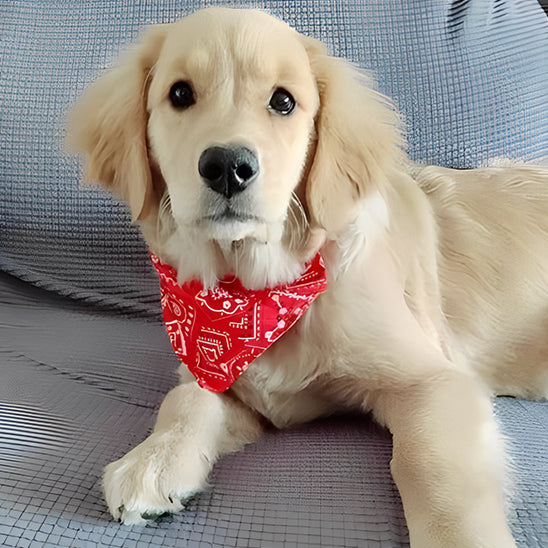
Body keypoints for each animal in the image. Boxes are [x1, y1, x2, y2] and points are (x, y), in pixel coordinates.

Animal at [68, 6, 548, 544]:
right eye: (180, 94)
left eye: (283, 101)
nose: (227, 166)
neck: (255, 292)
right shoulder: (227, 379)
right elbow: (188, 397)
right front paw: (153, 459)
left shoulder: (432, 380)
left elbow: (431, 468)